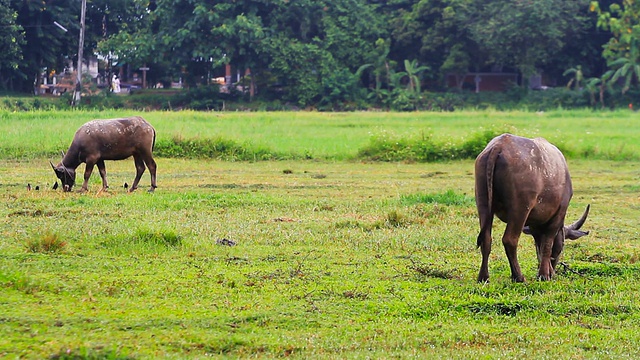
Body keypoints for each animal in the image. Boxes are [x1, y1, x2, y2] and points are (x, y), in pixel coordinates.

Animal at [476, 134, 592, 282]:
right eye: (563, 245)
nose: (554, 269)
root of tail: (499, 145)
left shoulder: (534, 225)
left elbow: (539, 246)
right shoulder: (558, 215)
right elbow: (547, 245)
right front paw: (544, 274)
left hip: (483, 203)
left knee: (486, 239)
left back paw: (483, 277)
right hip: (520, 209)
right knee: (510, 240)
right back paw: (519, 277)